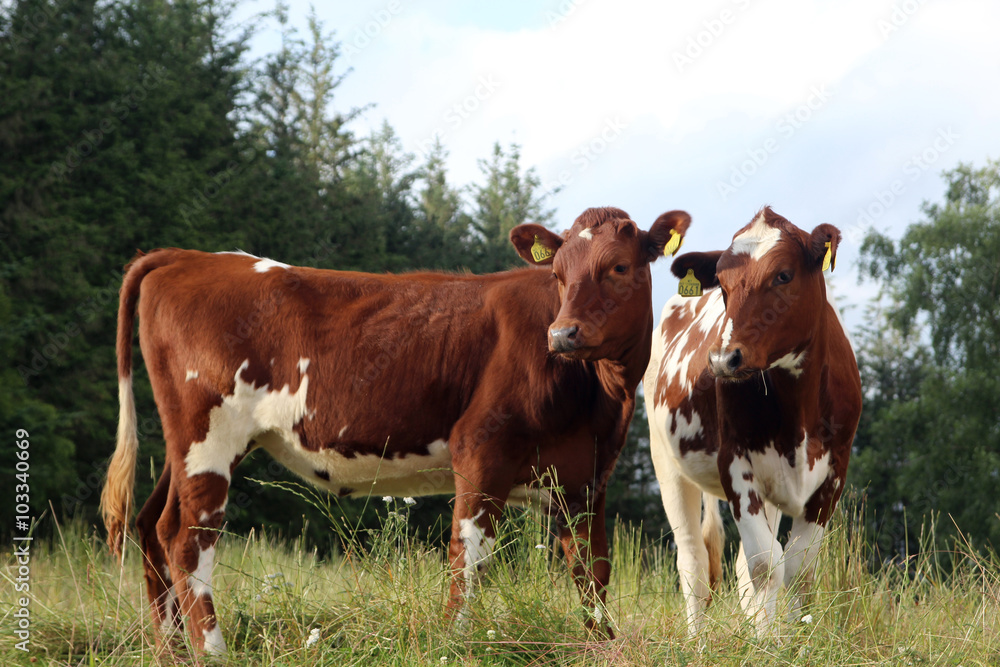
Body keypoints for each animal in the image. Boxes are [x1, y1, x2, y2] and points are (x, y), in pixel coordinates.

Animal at [103, 206, 696, 656]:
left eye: (619, 266)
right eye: (558, 275)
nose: (562, 333)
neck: (600, 395)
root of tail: (187, 256)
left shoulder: (586, 476)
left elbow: (592, 569)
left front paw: (603, 646)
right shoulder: (480, 450)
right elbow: (467, 558)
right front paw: (455, 645)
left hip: (187, 445)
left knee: (153, 525)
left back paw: (172, 653)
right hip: (210, 435)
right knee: (187, 539)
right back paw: (212, 653)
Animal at [644, 207, 864, 636]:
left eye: (783, 275)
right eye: (723, 283)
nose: (722, 359)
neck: (799, 411)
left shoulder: (834, 474)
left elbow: (797, 568)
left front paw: (792, 639)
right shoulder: (735, 465)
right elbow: (764, 566)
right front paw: (766, 642)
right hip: (666, 462)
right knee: (694, 561)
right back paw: (697, 641)